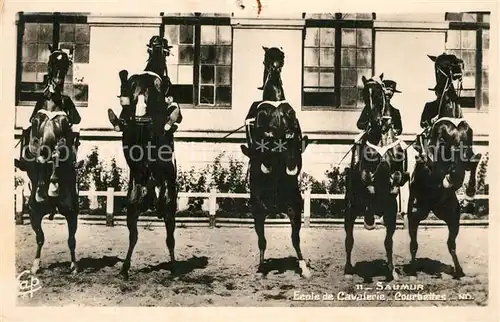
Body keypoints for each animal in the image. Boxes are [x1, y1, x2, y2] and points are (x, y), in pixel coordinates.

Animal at [21, 47, 79, 274]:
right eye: (52, 62)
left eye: (65, 64)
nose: (56, 83)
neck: (53, 104)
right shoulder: (36, 133)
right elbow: (39, 155)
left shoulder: (64, 133)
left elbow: (58, 152)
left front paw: (53, 183)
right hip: (34, 214)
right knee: (39, 238)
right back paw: (35, 266)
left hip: (71, 212)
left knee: (71, 239)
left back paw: (73, 265)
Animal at [114, 35, 182, 280]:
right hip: (169, 201)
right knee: (170, 236)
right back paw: (173, 267)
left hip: (133, 202)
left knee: (133, 234)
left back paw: (125, 268)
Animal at [240, 46, 310, 278]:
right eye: (267, 59)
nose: (276, 67)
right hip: (271, 209)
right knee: (273, 239)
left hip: (280, 209)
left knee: (287, 239)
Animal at [344, 74, 410, 280]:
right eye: (365, 95)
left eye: (380, 94)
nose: (374, 121)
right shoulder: (365, 173)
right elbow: (370, 187)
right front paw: (369, 218)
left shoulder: (396, 172)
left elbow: (395, 181)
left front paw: (392, 191)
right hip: (349, 212)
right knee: (349, 240)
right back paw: (348, 269)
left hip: (390, 218)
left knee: (388, 241)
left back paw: (392, 272)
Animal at [408, 53, 482, 280]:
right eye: (443, 62)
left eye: (455, 58)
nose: (458, 68)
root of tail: (433, 208)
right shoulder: (438, 152)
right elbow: (440, 165)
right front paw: (450, 179)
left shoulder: (468, 145)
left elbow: (474, 160)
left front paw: (470, 191)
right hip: (414, 214)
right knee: (413, 244)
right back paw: (412, 270)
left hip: (453, 217)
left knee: (451, 244)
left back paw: (459, 271)